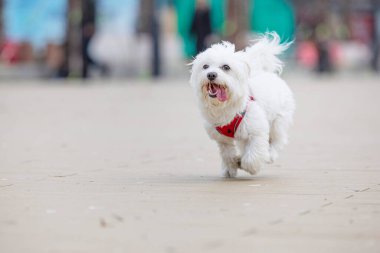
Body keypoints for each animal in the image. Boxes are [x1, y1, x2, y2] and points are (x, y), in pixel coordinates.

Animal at [189, 32, 296, 177]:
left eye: (226, 67)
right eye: (205, 66)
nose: (211, 74)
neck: (226, 105)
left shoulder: (257, 131)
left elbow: (253, 156)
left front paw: (247, 165)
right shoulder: (221, 138)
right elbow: (227, 154)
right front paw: (231, 166)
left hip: (278, 122)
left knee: (277, 139)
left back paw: (270, 155)